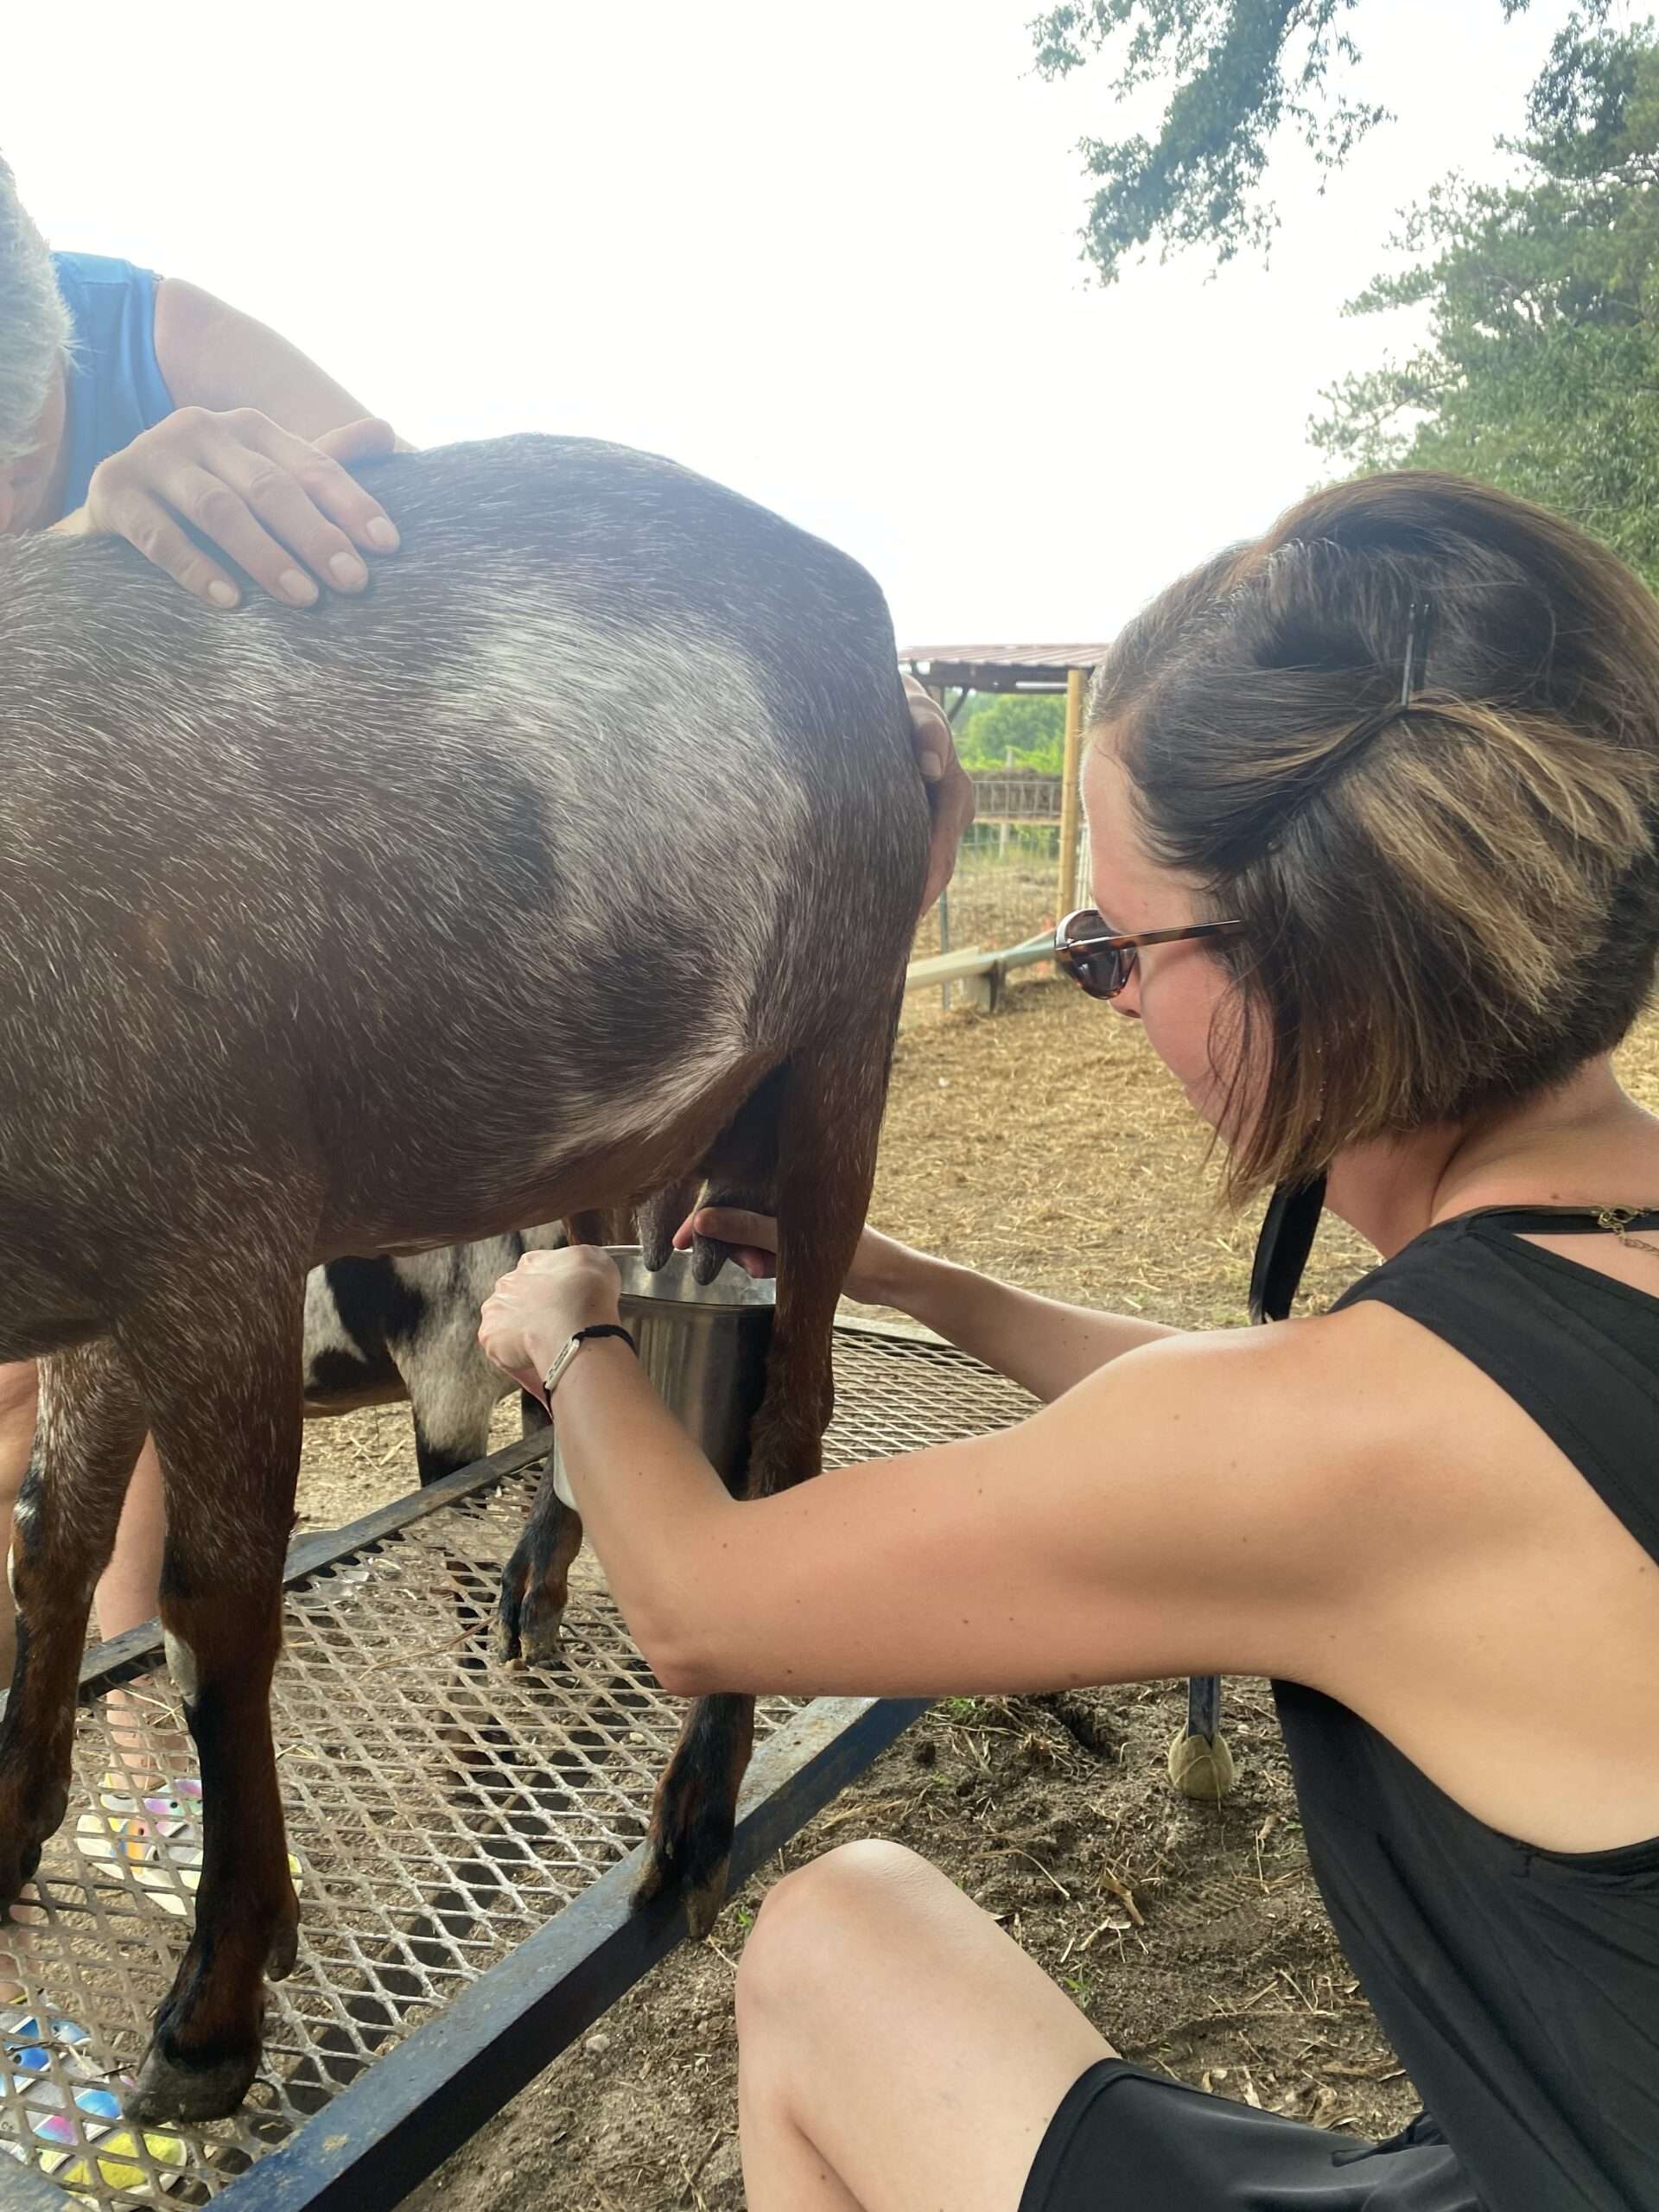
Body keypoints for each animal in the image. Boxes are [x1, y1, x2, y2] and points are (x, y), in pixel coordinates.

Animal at [0, 435, 929, 2123]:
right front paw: (6, 1834)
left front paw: (214, 2008)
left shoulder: (214, 1237)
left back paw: (694, 1817)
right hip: (638, 1138)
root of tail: (867, 620)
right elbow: (56, 1541)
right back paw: (544, 1586)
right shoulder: (105, 1287)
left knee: (791, 1427)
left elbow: (209, 1607)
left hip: (840, 1046)